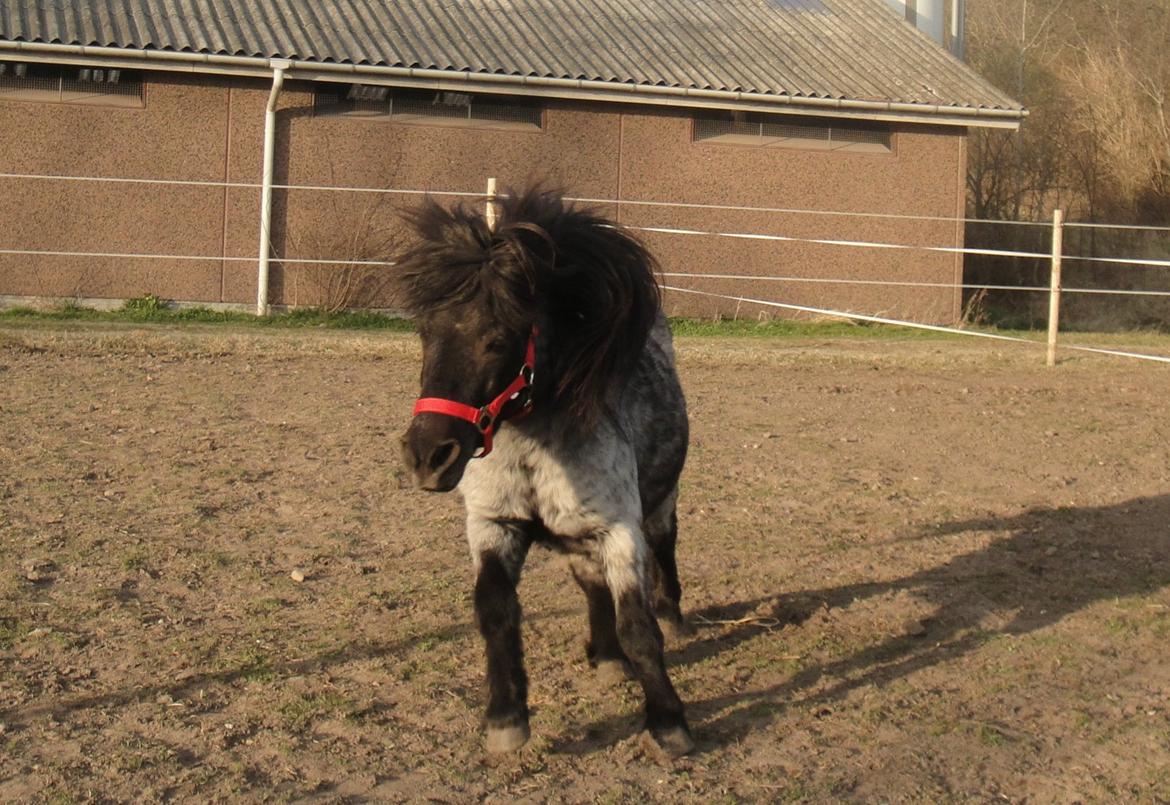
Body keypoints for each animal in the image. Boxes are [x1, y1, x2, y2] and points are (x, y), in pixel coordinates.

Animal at [397, 187, 687, 753]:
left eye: (497, 337)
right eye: (425, 333)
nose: (427, 456)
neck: (533, 448)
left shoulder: (619, 530)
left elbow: (640, 628)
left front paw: (669, 722)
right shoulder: (493, 525)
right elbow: (495, 611)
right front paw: (506, 717)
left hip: (659, 506)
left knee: (665, 549)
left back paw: (675, 617)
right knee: (591, 583)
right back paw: (606, 656)